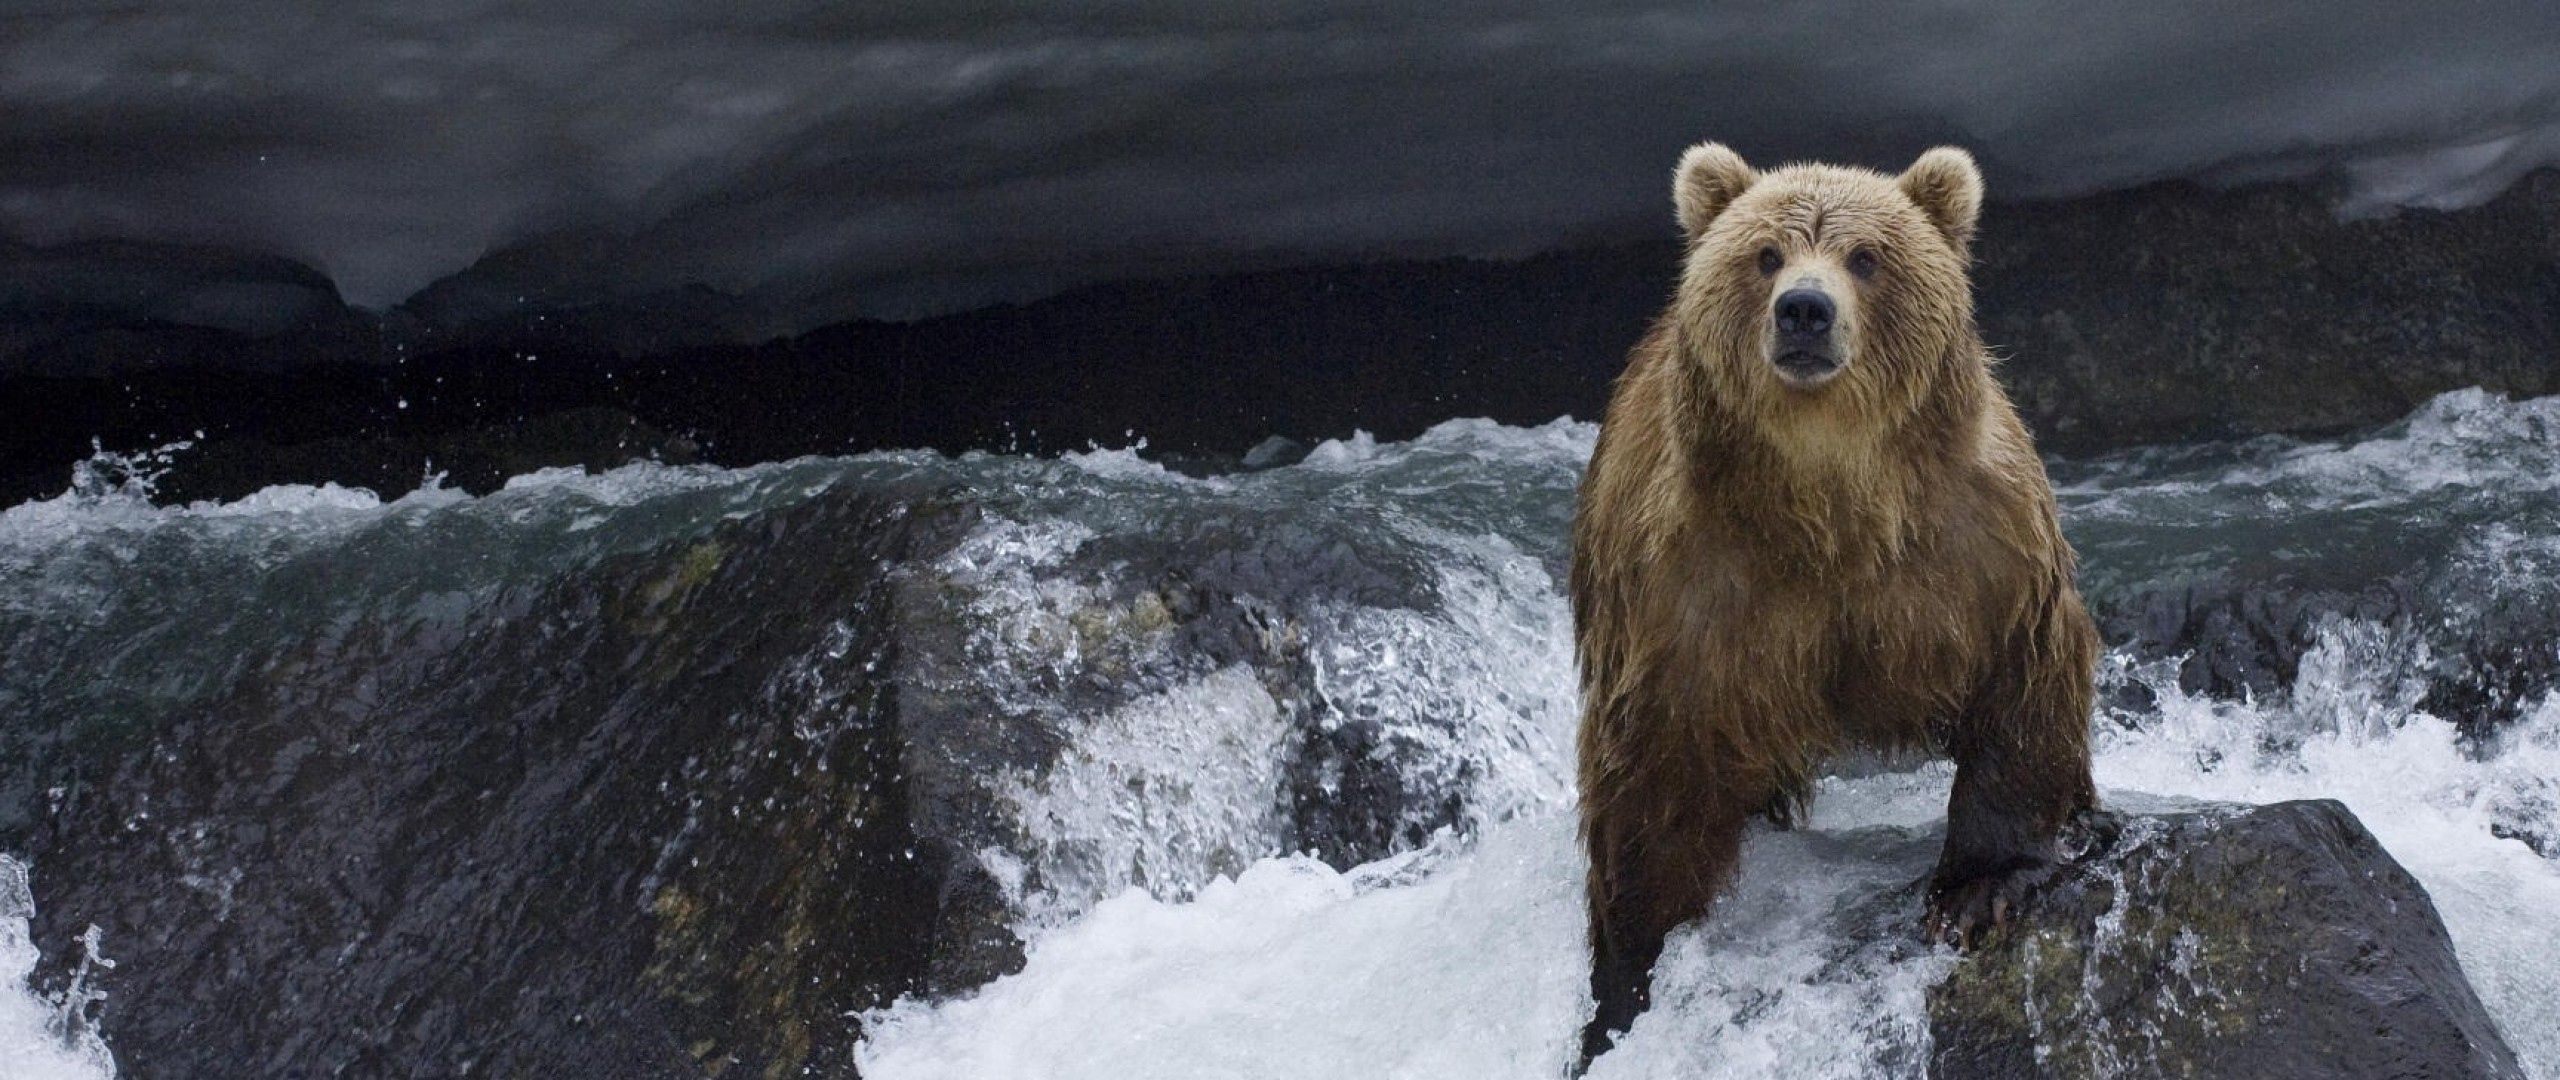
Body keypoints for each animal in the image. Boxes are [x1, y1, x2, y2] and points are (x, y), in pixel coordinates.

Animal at [1556, 141, 2099, 1064]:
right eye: (1766, 253)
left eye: (1867, 256)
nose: (1805, 311)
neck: (1830, 499)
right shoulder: (1687, 587)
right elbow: (1653, 772)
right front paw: (1627, 978)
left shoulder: (1975, 543)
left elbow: (2021, 680)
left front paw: (1979, 889)